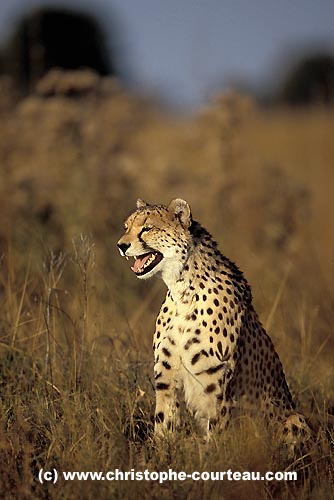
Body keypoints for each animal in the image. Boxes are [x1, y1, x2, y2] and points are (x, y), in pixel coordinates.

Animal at [117, 198, 310, 450]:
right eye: (127, 227)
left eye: (147, 228)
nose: (121, 245)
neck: (183, 290)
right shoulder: (166, 375)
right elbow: (164, 421)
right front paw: (160, 451)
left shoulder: (216, 379)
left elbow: (216, 431)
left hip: (294, 417)